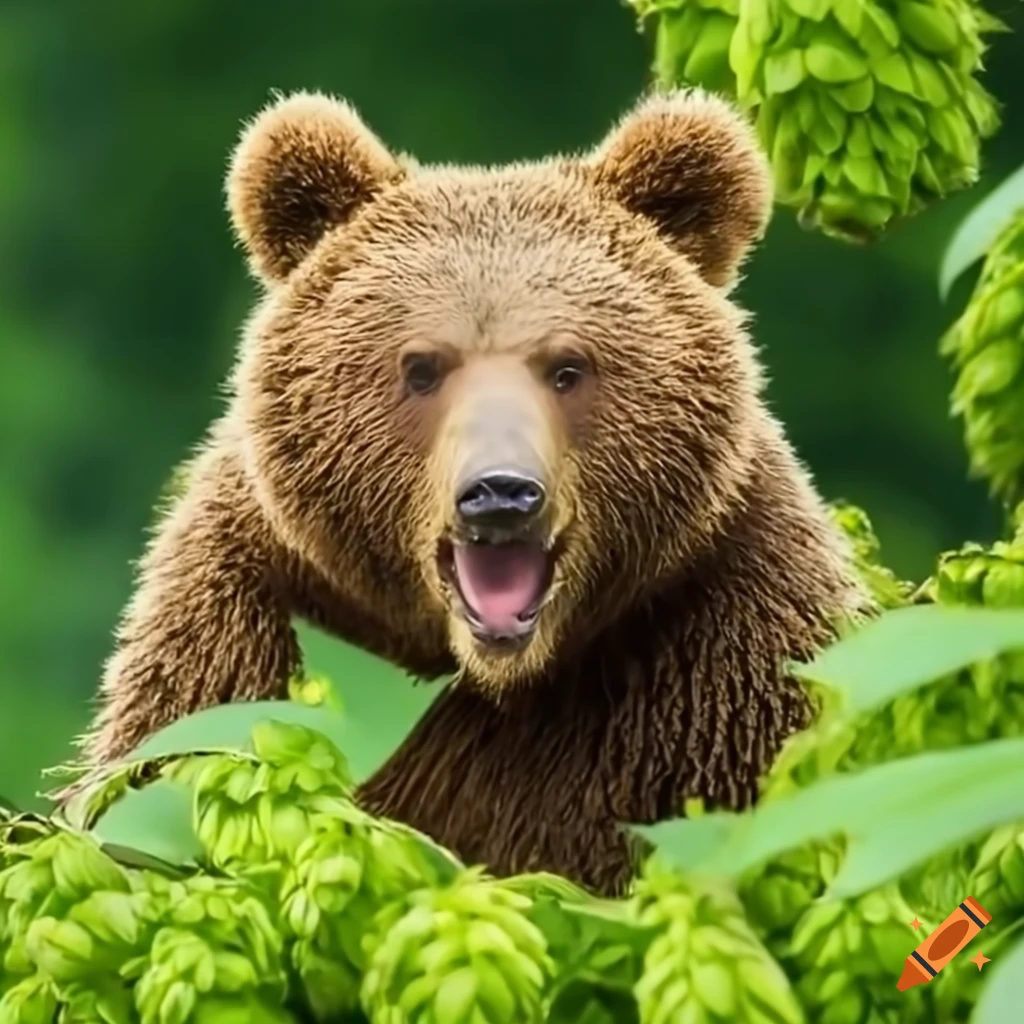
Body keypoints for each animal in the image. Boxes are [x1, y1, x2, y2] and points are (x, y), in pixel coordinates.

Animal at [78, 87, 864, 896]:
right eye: (422, 367)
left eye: (569, 367)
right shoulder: (238, 625)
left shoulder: (719, 663)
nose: (501, 493)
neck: (498, 677)